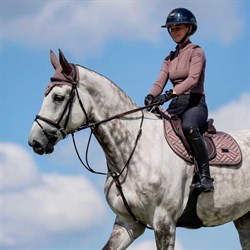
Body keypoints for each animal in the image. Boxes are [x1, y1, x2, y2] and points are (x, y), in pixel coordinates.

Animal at [28, 49, 249, 249]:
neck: (134, 151)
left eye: (58, 97)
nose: (34, 141)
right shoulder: (128, 224)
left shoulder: (164, 223)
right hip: (244, 218)